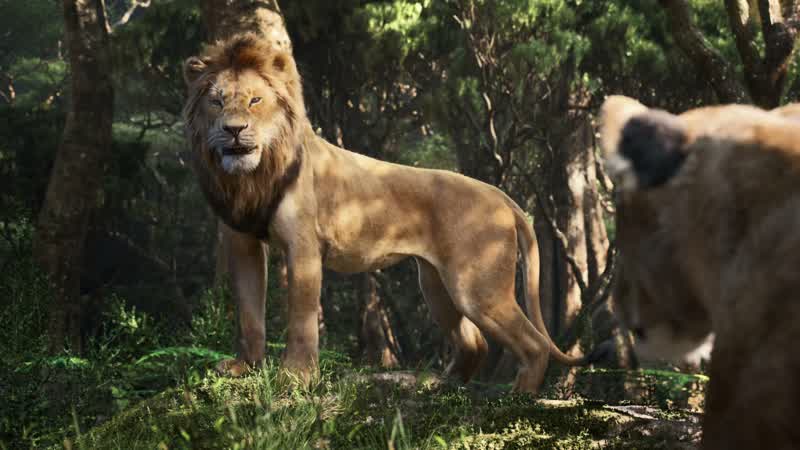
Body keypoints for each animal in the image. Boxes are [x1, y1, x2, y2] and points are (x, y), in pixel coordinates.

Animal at [182, 33, 586, 393]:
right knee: (475, 343)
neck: (251, 177)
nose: (234, 130)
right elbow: (249, 314)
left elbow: (301, 320)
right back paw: (442, 386)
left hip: (476, 288)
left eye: (255, 100)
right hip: (437, 286)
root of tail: (501, 195)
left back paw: (519, 395)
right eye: (216, 102)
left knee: (533, 344)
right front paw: (244, 367)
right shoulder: (242, 242)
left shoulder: (304, 247)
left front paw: (295, 378)